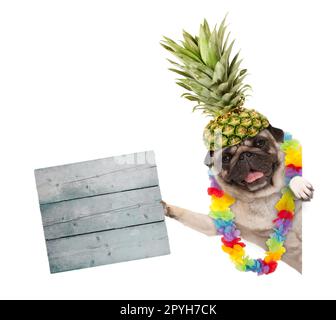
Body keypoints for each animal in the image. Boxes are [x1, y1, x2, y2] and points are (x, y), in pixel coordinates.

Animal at [164, 125, 314, 272]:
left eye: (260, 143)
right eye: (225, 158)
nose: (244, 155)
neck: (262, 196)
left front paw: (299, 185)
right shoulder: (216, 225)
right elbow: (191, 216)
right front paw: (167, 208)